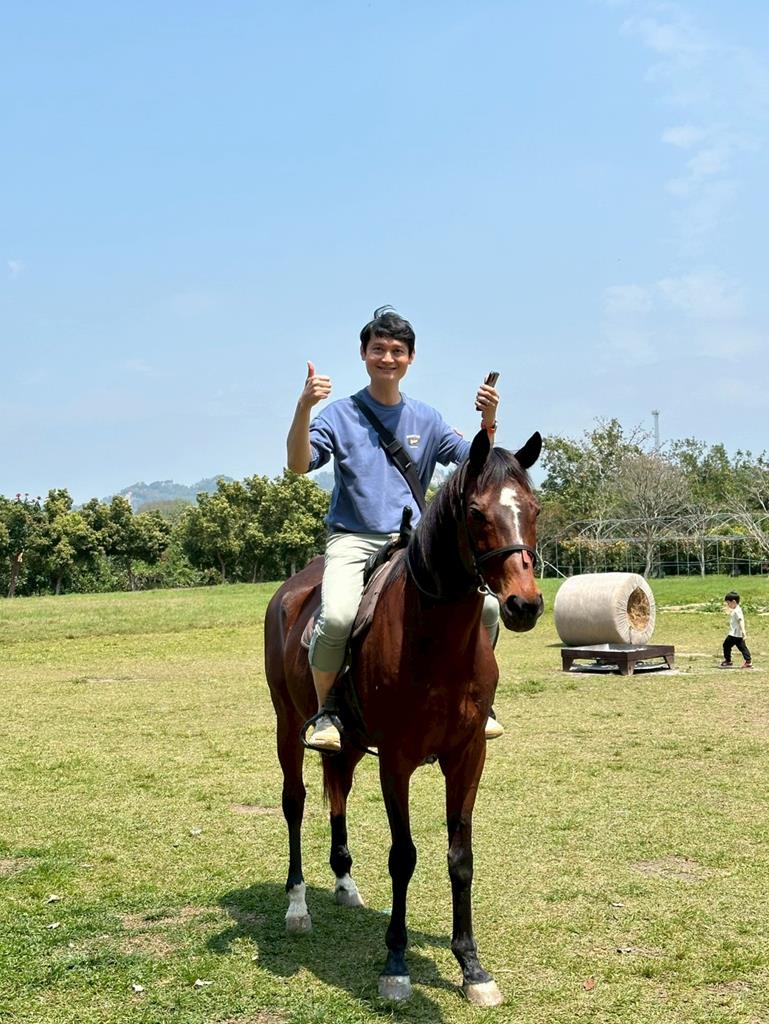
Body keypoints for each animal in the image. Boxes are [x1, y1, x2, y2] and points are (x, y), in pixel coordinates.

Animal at [264, 427, 543, 1006]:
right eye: (477, 513)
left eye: (534, 508)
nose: (524, 605)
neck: (436, 643)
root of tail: (290, 589)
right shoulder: (396, 760)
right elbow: (404, 857)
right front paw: (396, 964)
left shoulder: (467, 757)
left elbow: (461, 857)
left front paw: (472, 967)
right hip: (286, 726)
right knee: (295, 803)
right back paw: (298, 905)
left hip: (348, 744)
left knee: (338, 792)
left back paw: (344, 883)